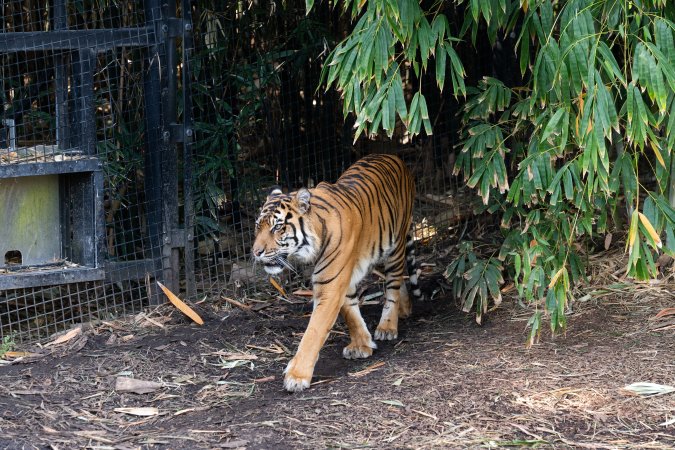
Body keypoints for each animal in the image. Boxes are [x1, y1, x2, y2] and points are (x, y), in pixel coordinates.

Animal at [252, 154, 422, 392]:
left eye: (277, 227)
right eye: (257, 226)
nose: (256, 252)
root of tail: (393, 156)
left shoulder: (331, 285)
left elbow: (314, 331)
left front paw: (296, 376)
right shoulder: (340, 279)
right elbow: (350, 311)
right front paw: (361, 344)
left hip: (395, 248)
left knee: (393, 285)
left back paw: (388, 325)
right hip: (378, 250)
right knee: (397, 283)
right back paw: (404, 309)